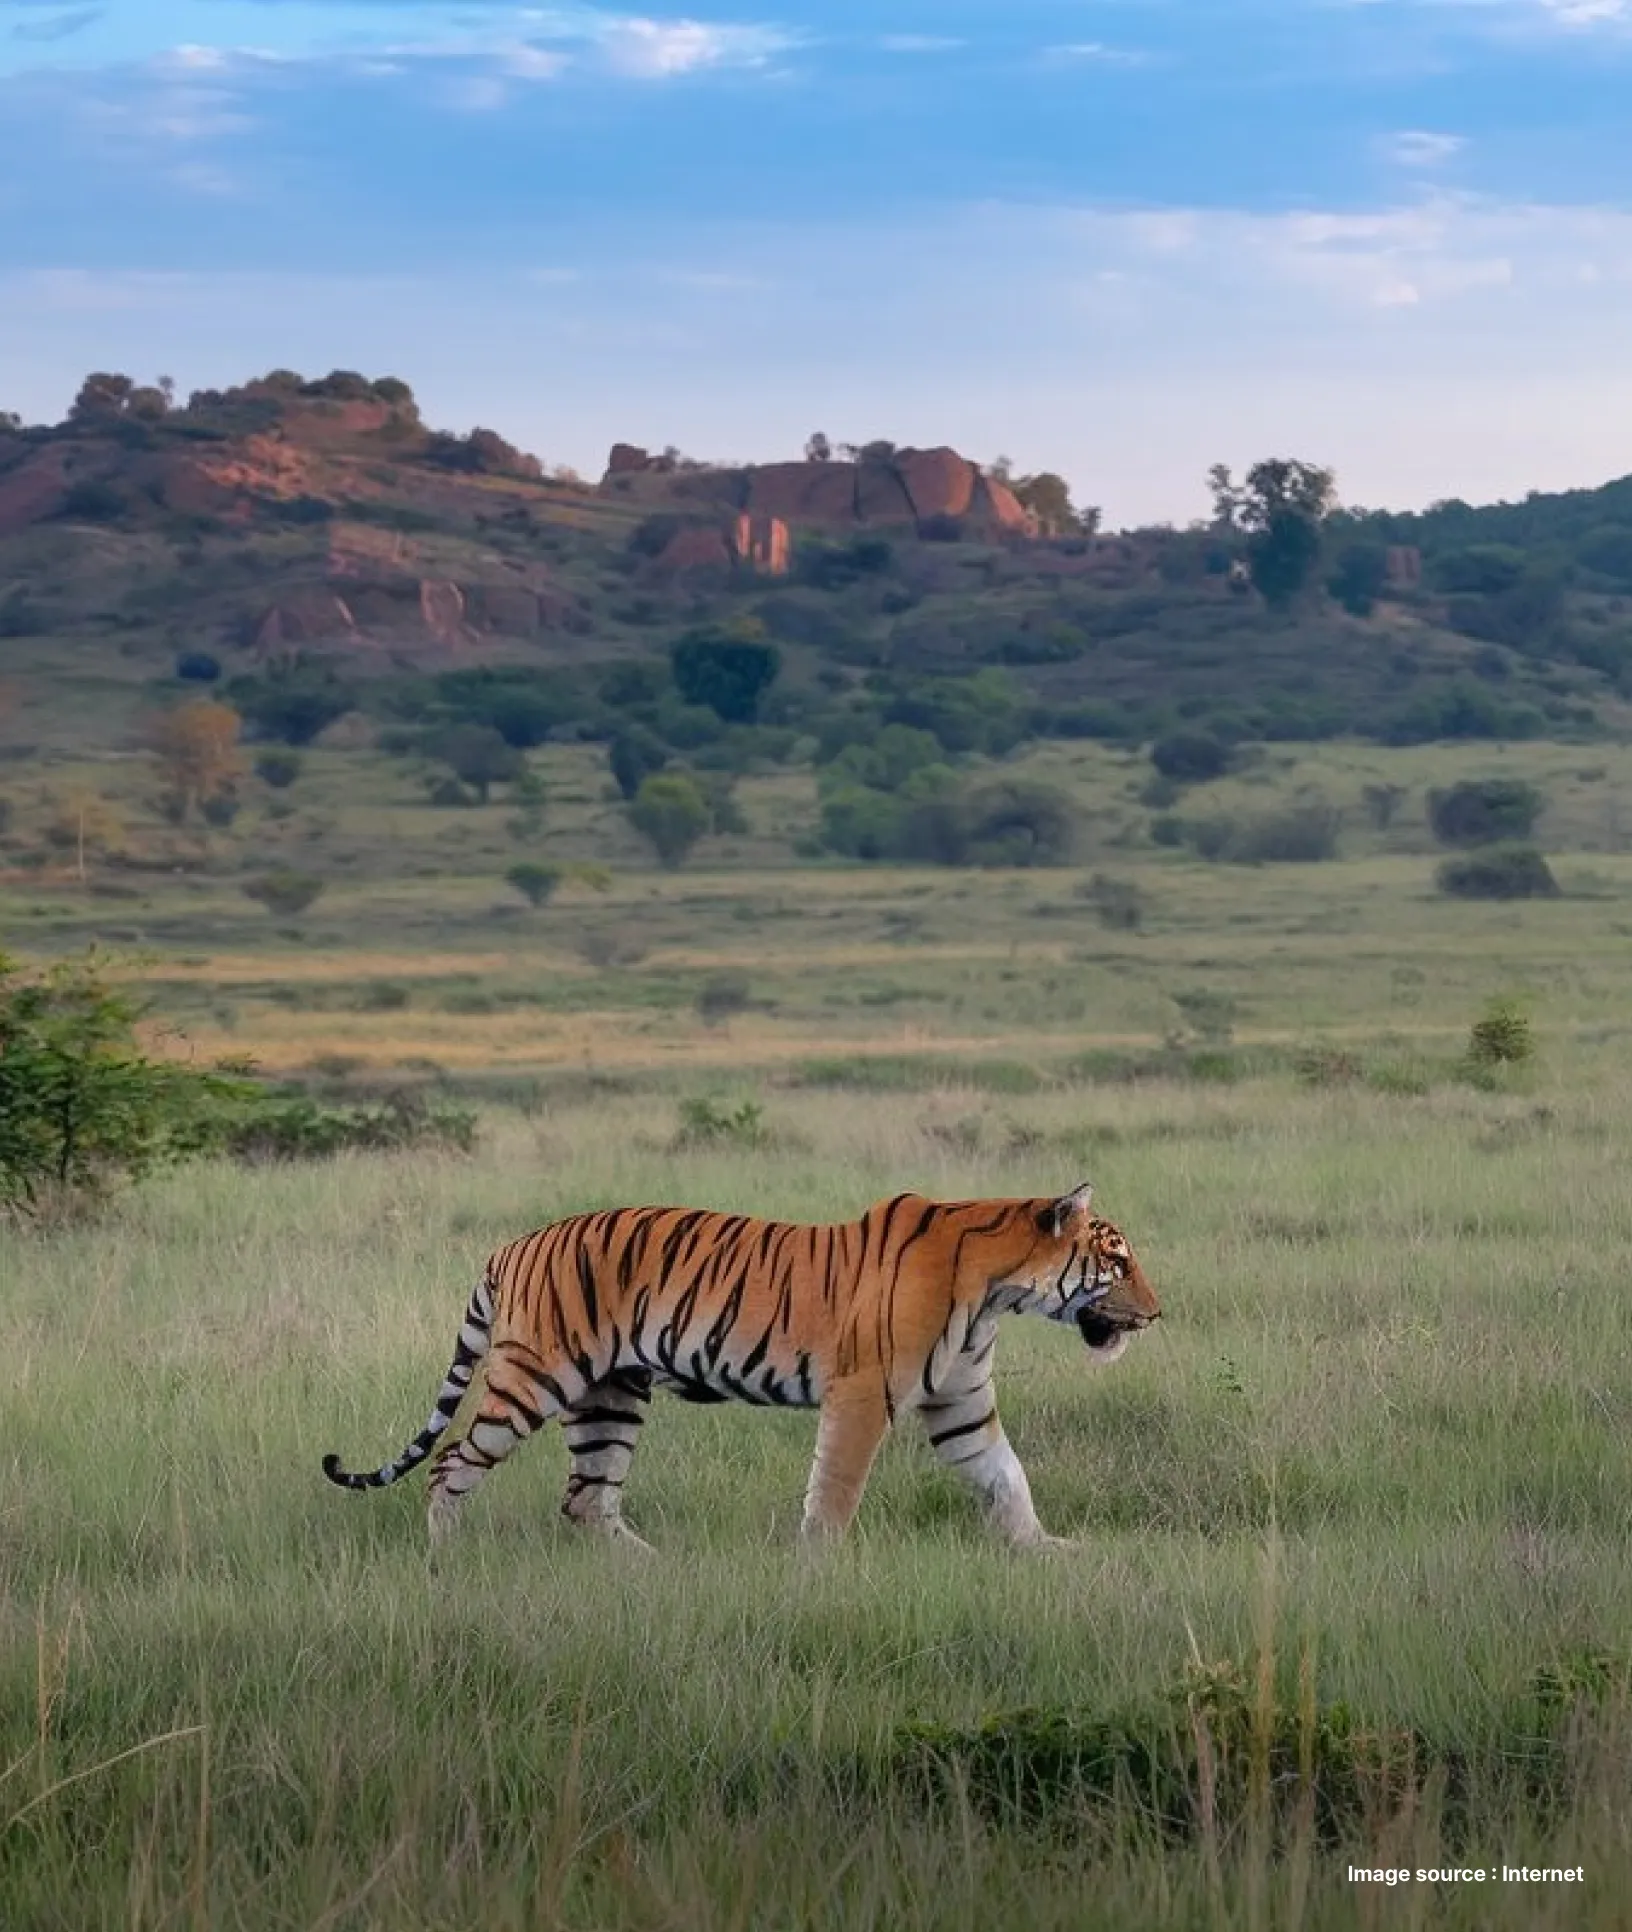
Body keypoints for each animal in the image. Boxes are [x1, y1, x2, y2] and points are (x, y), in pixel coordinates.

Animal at [321, 1180, 1160, 1552]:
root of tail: (510, 1246)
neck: (996, 1290)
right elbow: (836, 1488)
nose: (1156, 1314)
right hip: (534, 1377)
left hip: (609, 1398)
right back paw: (444, 1559)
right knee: (451, 1464)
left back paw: (654, 1572)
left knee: (587, 1499)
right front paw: (819, 1567)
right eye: (1118, 1263)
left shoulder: (961, 1403)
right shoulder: (863, 1393)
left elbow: (1006, 1478)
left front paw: (1048, 1552)